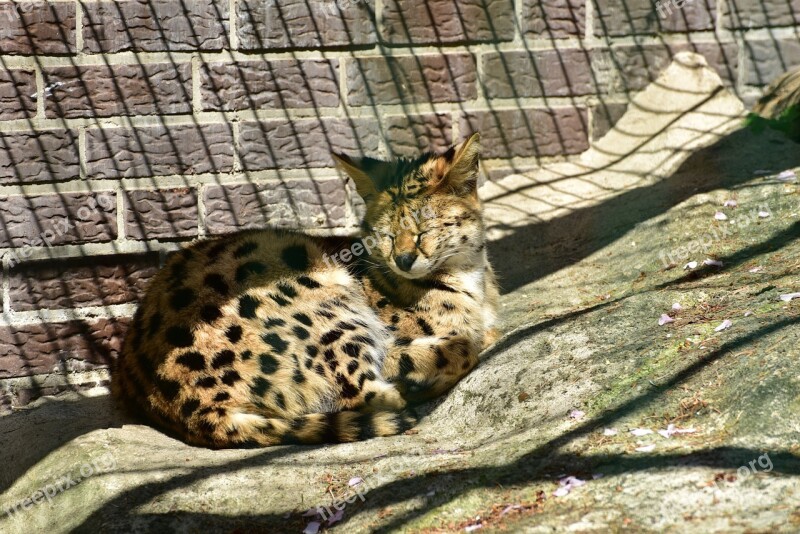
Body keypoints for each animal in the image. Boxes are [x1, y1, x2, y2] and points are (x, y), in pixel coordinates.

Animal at [113, 134, 496, 448]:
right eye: (385, 234)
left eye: (423, 231)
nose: (402, 259)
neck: (467, 276)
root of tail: (197, 413)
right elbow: (459, 342)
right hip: (319, 298)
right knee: (366, 394)